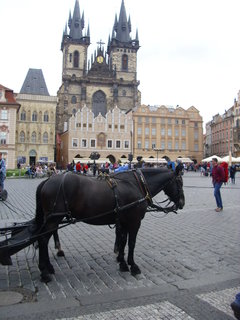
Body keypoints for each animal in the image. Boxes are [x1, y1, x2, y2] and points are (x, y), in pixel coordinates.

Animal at [34, 168, 185, 282]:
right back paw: (44, 271)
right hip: (54, 219)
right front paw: (133, 265)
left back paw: (48, 267)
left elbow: (123, 241)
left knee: (44, 239)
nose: (182, 202)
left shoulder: (124, 222)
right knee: (42, 239)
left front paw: (122, 263)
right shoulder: (134, 222)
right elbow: (131, 243)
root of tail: (47, 180)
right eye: (180, 182)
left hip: (52, 219)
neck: (135, 184)